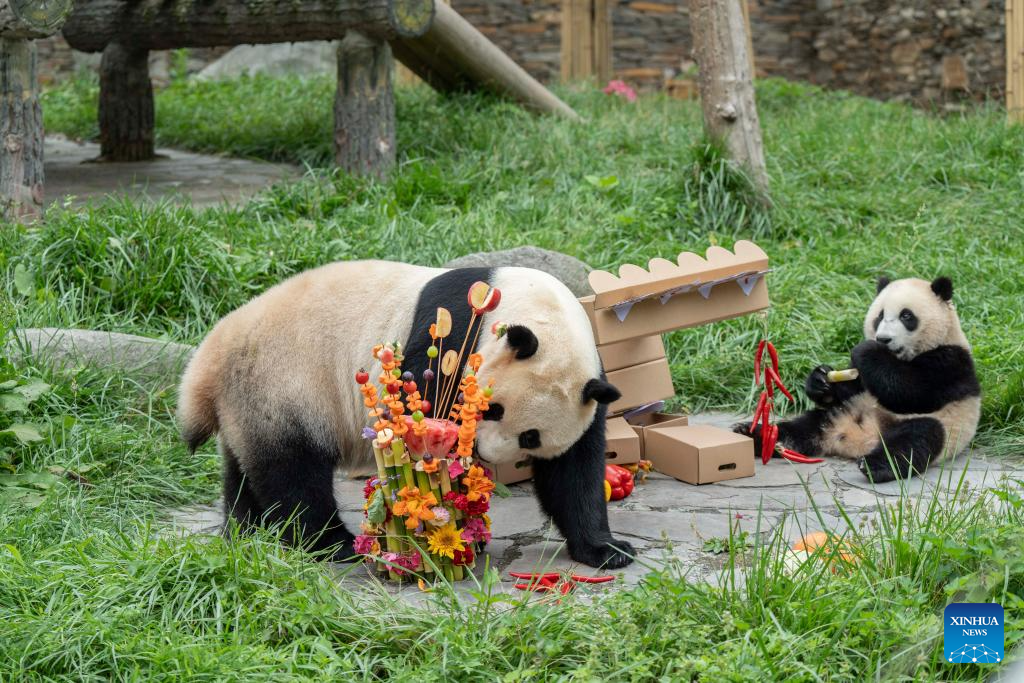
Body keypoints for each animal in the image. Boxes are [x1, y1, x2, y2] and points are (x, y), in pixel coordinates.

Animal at [180, 264, 634, 569]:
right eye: (493, 408)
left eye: (530, 437)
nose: (484, 452)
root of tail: (211, 356)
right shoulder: (453, 336)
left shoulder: (590, 386)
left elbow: (572, 471)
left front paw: (607, 550)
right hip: (284, 383)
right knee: (294, 473)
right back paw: (329, 543)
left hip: (251, 400)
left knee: (248, 469)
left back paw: (247, 531)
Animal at [741, 274, 978, 483]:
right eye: (880, 316)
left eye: (906, 316)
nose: (883, 339)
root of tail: (858, 440)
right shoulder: (859, 381)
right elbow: (853, 386)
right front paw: (820, 380)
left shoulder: (951, 362)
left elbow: (913, 391)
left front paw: (867, 350)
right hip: (841, 412)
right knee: (803, 427)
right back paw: (754, 434)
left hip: (943, 426)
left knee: (916, 439)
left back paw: (875, 466)